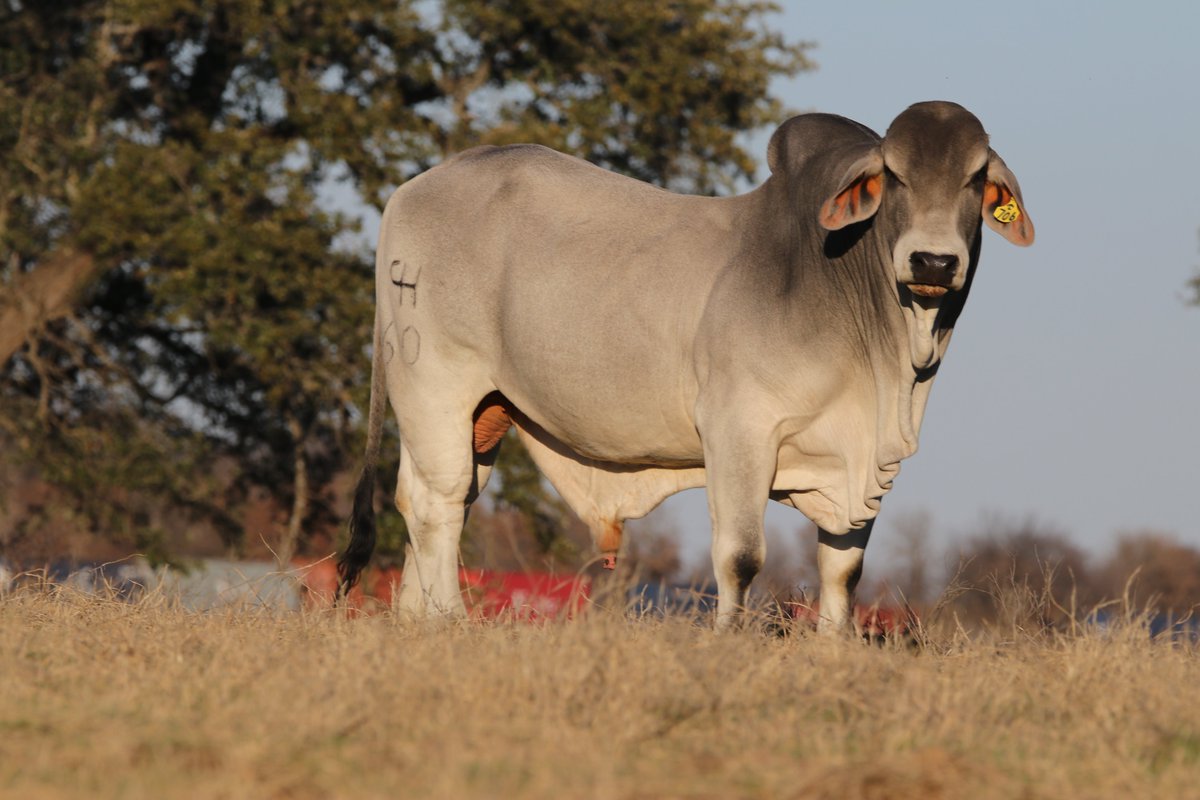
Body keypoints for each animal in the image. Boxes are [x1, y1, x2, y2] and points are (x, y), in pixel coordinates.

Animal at [337, 101, 1034, 632]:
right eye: (894, 175)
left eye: (976, 179)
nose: (933, 262)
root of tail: (412, 189)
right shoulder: (739, 432)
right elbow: (741, 556)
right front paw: (728, 639)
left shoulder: (865, 467)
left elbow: (843, 570)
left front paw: (835, 649)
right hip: (435, 386)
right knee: (437, 502)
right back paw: (448, 619)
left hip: (481, 415)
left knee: (434, 500)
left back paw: (413, 621)